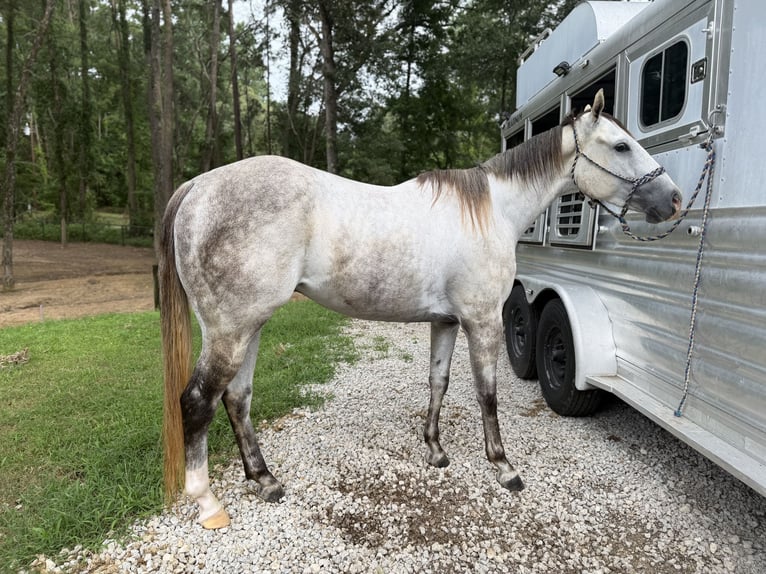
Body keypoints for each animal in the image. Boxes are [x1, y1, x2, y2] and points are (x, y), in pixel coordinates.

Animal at [159, 90, 682, 529]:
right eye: (621, 146)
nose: (674, 200)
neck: (493, 211)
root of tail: (199, 186)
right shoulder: (482, 323)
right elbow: (487, 394)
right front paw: (503, 466)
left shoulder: (446, 322)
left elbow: (438, 382)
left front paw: (434, 450)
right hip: (230, 330)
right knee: (198, 401)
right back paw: (208, 502)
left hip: (250, 326)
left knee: (237, 398)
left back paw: (264, 480)